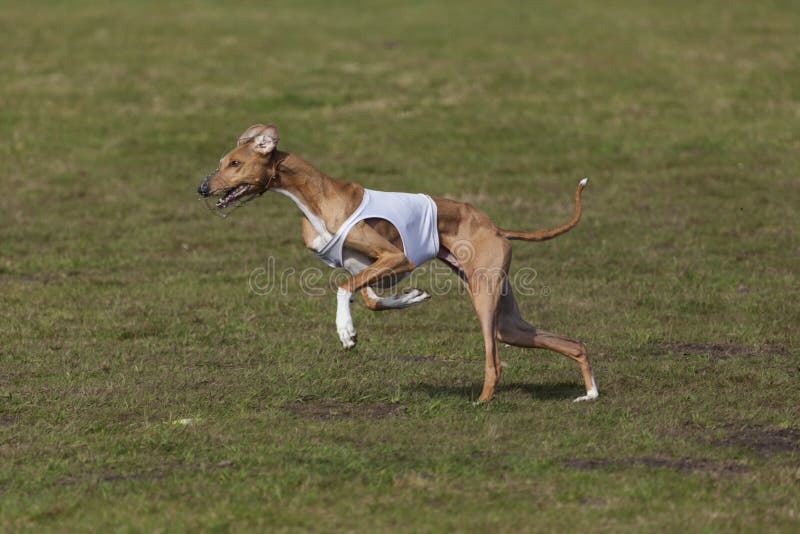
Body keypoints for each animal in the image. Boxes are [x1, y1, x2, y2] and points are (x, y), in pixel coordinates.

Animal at [199, 124, 596, 402]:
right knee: (572, 342)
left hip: (484, 300)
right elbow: (371, 300)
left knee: (495, 361)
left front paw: (345, 331)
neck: (317, 200)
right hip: (507, 320)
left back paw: (482, 401)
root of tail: (495, 226)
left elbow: (342, 289)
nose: (202, 188)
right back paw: (589, 394)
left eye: (235, 163)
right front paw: (411, 299)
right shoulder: (368, 267)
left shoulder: (397, 259)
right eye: (222, 162)